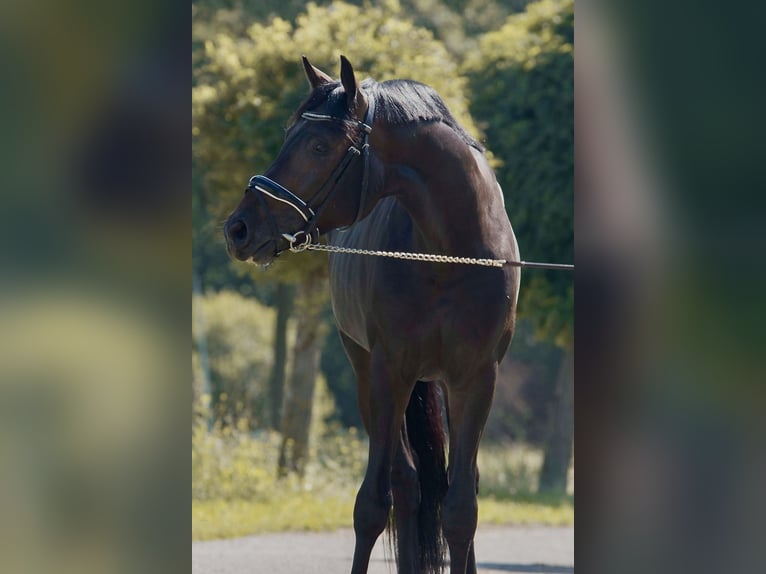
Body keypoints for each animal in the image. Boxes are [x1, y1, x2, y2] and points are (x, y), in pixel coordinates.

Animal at [224, 55, 520, 574]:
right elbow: (372, 505)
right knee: (405, 483)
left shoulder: (478, 378)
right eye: (287, 133)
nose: (238, 228)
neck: (450, 255)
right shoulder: (388, 373)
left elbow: (462, 509)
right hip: (366, 372)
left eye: (319, 145)